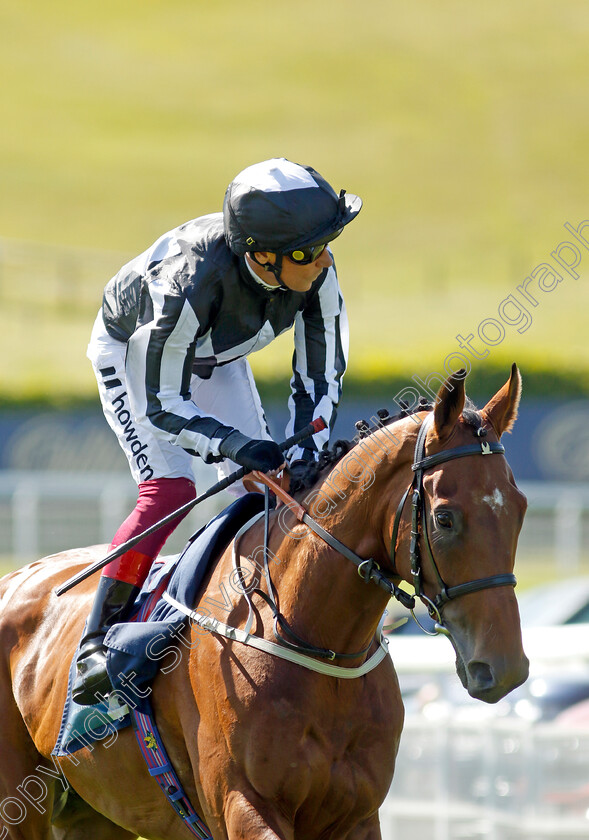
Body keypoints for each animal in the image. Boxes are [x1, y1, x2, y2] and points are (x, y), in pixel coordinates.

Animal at [0, 370, 528, 840]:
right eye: (444, 518)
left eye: (520, 509)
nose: (504, 668)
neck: (317, 641)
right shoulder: (243, 805)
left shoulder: (357, 816)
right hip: (20, 810)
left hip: (96, 814)